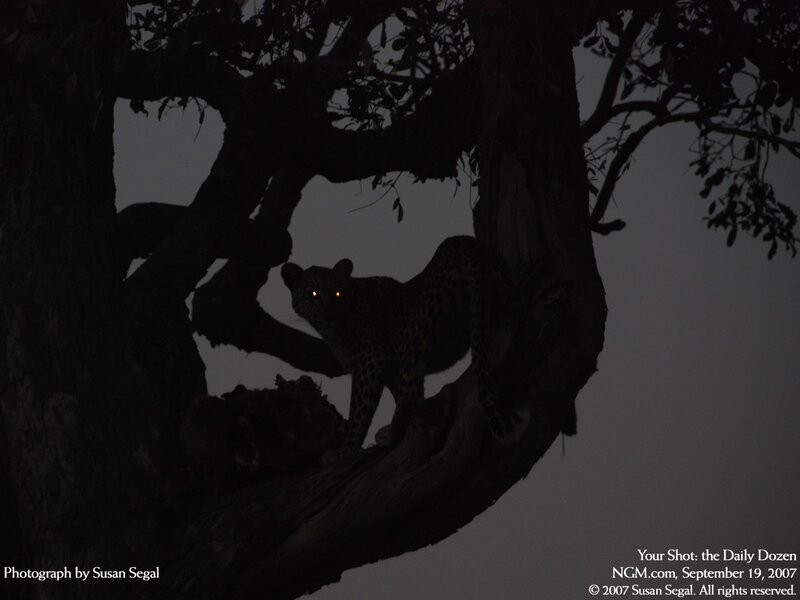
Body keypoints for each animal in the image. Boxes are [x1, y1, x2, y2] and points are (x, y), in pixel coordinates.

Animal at [280, 235, 530, 462]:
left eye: (337, 293)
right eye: (313, 294)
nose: (329, 315)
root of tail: (464, 244)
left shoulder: (369, 362)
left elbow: (359, 412)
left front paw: (344, 452)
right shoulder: (389, 372)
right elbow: (408, 395)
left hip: (419, 332)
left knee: (407, 395)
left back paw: (388, 435)